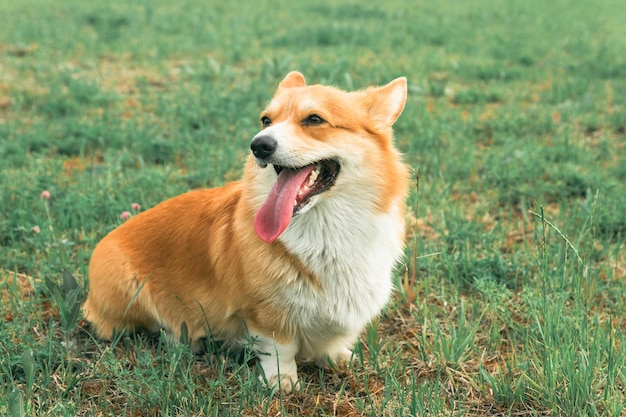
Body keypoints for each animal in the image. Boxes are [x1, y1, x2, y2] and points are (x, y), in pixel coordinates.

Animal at [83, 70, 408, 390]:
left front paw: (337, 357)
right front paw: (281, 382)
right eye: (266, 120)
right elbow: (279, 347)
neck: (327, 231)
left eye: (314, 119)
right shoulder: (265, 312)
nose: (258, 145)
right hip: (130, 291)